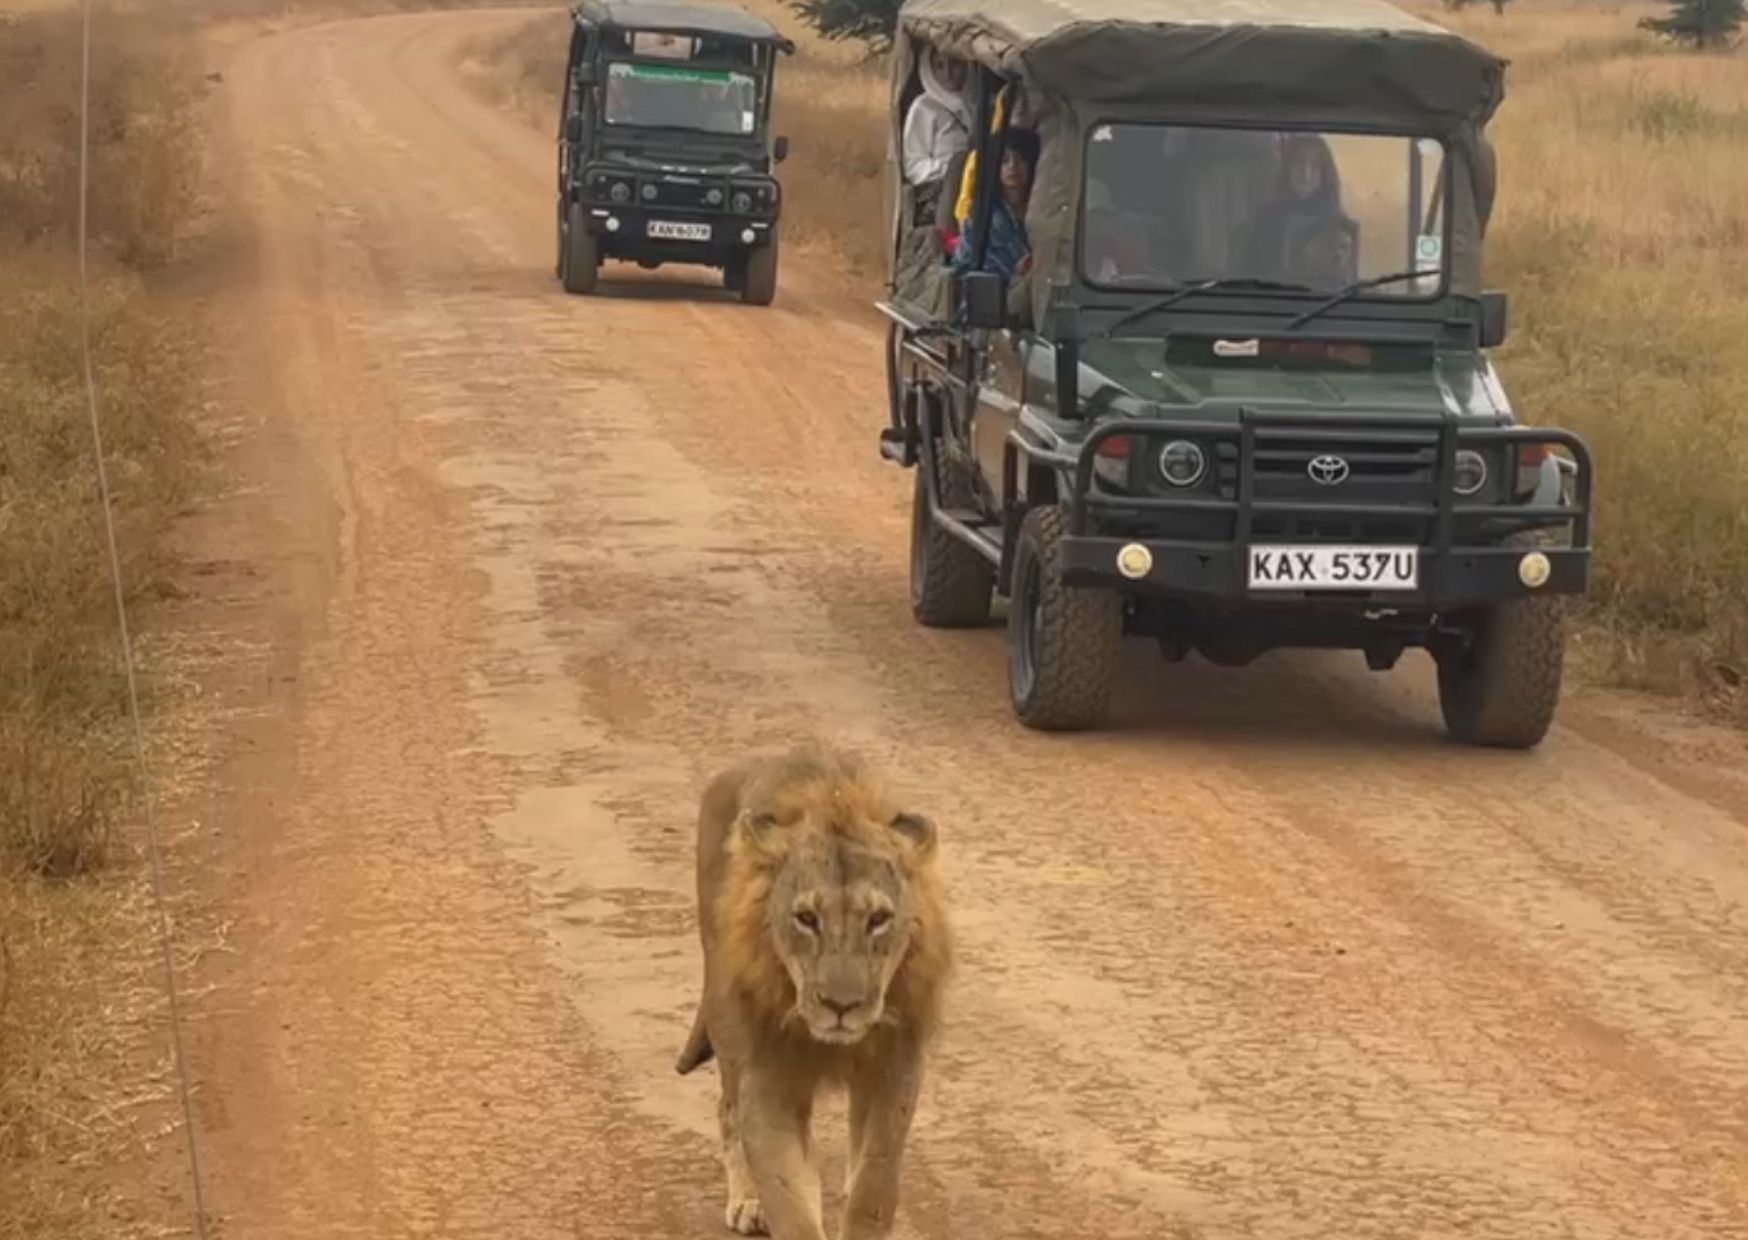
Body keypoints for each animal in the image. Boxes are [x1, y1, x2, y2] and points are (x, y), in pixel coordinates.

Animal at [675, 741, 953, 1240]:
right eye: (806, 919)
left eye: (878, 919)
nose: (841, 1005)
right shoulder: (766, 1077)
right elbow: (788, 1197)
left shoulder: (895, 1068)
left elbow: (874, 1185)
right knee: (727, 1110)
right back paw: (747, 1200)